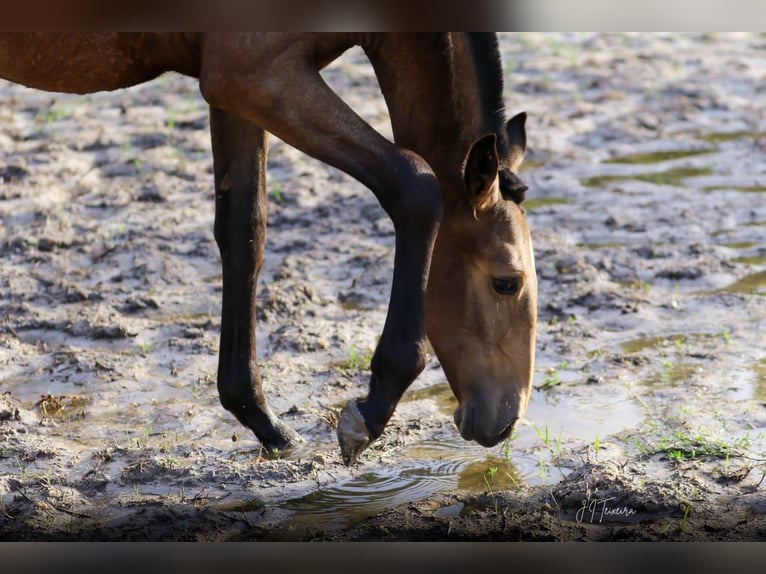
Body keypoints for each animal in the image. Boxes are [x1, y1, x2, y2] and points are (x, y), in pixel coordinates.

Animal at [0, 32, 540, 468]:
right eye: (506, 282)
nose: (507, 421)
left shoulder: (234, 89)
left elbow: (245, 229)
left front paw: (260, 417)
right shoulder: (256, 76)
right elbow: (415, 185)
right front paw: (371, 408)